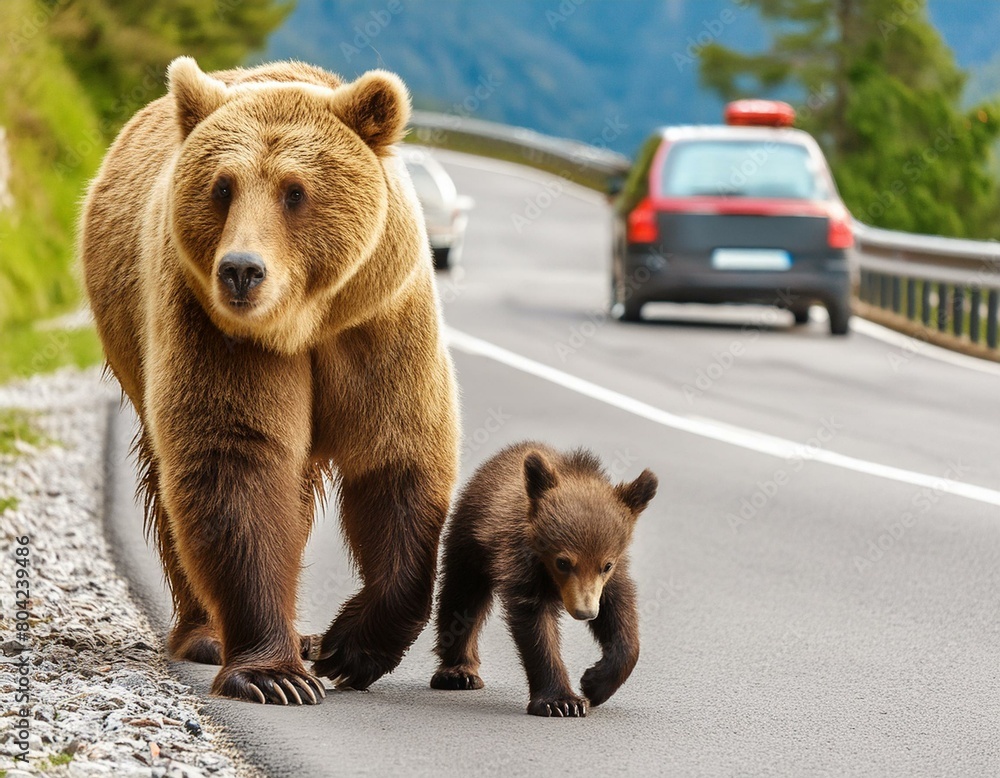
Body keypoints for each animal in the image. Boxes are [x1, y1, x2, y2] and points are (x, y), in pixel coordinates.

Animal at [80, 57, 459, 704]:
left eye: (295, 191)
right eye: (222, 187)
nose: (241, 271)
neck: (303, 322)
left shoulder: (379, 321)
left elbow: (397, 459)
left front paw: (346, 649)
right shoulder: (211, 324)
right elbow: (236, 461)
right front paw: (275, 675)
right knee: (173, 489)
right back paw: (208, 633)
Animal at [430, 442, 657, 717]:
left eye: (606, 565)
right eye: (563, 562)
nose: (585, 612)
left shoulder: (609, 580)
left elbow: (619, 617)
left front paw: (594, 684)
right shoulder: (521, 563)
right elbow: (537, 627)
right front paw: (562, 701)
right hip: (471, 541)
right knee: (462, 598)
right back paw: (458, 672)